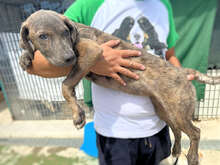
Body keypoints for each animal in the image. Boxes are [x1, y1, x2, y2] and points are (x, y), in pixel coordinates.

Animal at [18, 10, 220, 165]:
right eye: (43, 36)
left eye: (65, 33)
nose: (69, 58)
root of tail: (184, 72)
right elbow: (32, 53)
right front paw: (26, 56)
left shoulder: (91, 51)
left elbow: (65, 85)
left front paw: (78, 114)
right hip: (164, 110)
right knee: (176, 131)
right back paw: (176, 151)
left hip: (179, 111)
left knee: (195, 132)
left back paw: (192, 157)